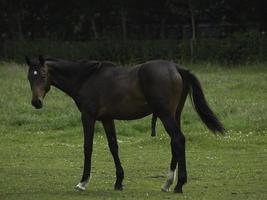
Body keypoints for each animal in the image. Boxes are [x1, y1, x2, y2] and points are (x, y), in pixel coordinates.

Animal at [25, 55, 226, 193]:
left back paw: (178, 184)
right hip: (174, 115)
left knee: (178, 139)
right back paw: (169, 183)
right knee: (175, 142)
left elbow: (87, 147)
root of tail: (176, 67)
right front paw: (119, 181)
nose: (36, 102)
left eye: (43, 74)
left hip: (165, 115)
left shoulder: (88, 117)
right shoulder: (107, 119)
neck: (87, 78)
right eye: (29, 77)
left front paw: (83, 182)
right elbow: (113, 146)